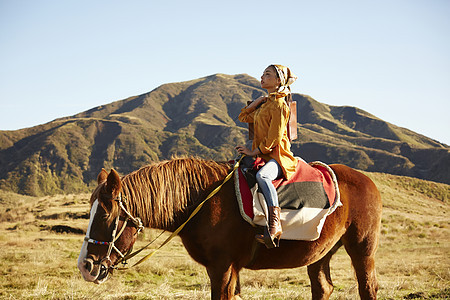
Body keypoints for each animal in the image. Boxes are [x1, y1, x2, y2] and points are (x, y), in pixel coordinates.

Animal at [77, 157, 380, 300]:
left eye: (105, 216)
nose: (85, 266)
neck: (201, 201)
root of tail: (367, 180)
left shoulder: (221, 267)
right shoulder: (230, 269)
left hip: (362, 251)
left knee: (368, 287)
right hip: (320, 254)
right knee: (323, 288)